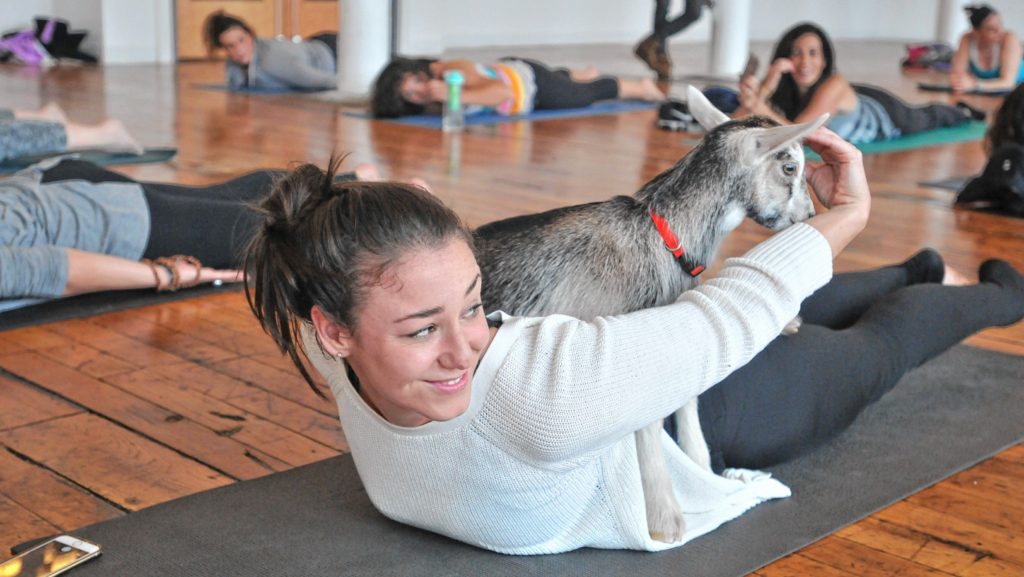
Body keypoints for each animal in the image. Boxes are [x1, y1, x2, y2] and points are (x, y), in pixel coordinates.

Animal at [475, 84, 827, 541]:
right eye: (789, 166)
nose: (810, 215)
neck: (663, 235)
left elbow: (688, 396)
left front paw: (700, 469)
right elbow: (648, 420)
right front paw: (666, 517)